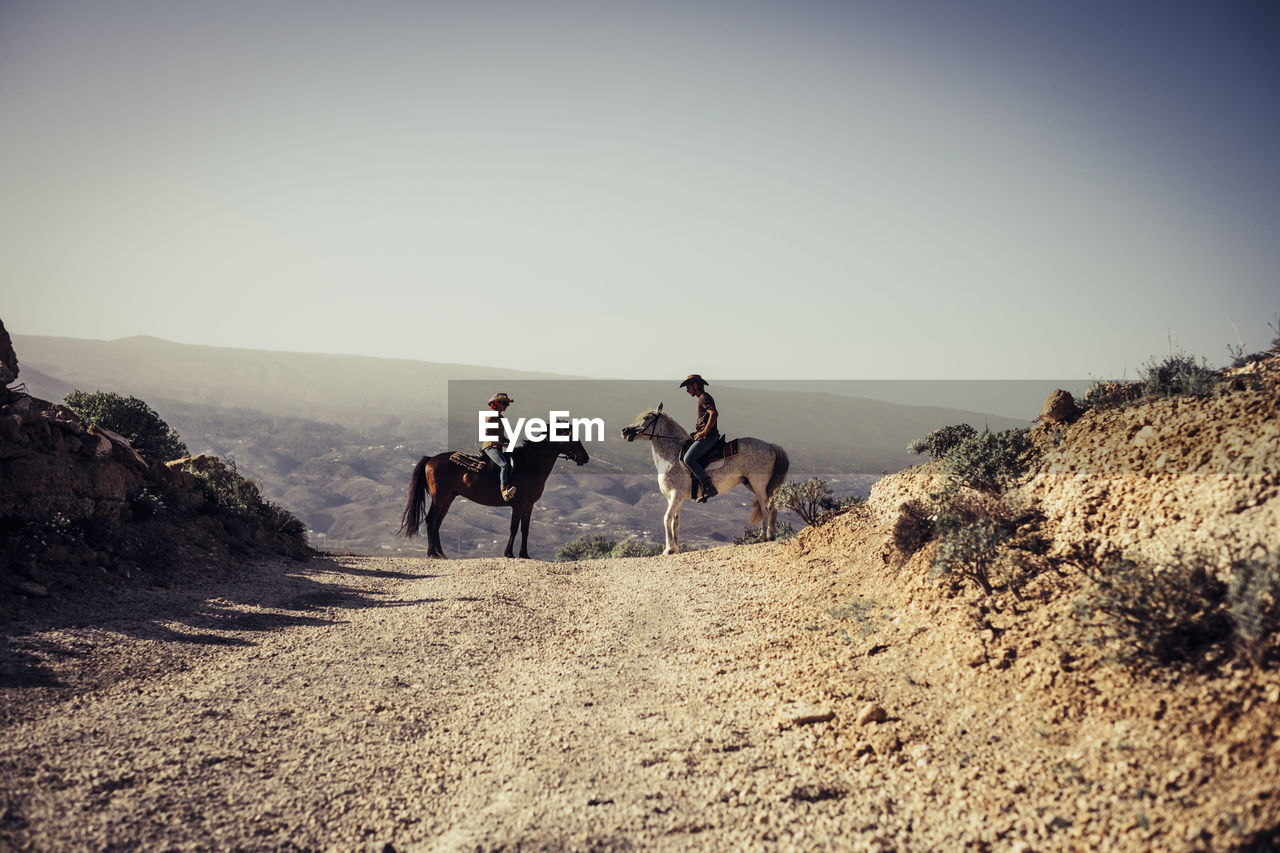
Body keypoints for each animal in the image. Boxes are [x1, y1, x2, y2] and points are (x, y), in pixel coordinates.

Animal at [399, 438, 588, 558]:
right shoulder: (518, 505)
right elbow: (514, 528)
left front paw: (524, 554)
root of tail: (431, 459)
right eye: (571, 436)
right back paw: (432, 553)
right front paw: (509, 553)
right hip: (440, 498)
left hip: (448, 499)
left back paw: (441, 553)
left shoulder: (529, 505)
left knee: (437, 523)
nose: (585, 457)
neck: (530, 464)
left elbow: (525, 529)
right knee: (431, 520)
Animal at [622, 404, 788, 555]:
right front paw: (675, 548)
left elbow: (667, 518)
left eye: (646, 417)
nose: (625, 431)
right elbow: (675, 522)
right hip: (753, 484)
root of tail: (770, 446)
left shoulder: (676, 495)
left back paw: (763, 537)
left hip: (758, 484)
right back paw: (771, 535)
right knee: (773, 505)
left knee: (765, 508)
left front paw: (668, 549)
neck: (672, 456)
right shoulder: (673, 498)